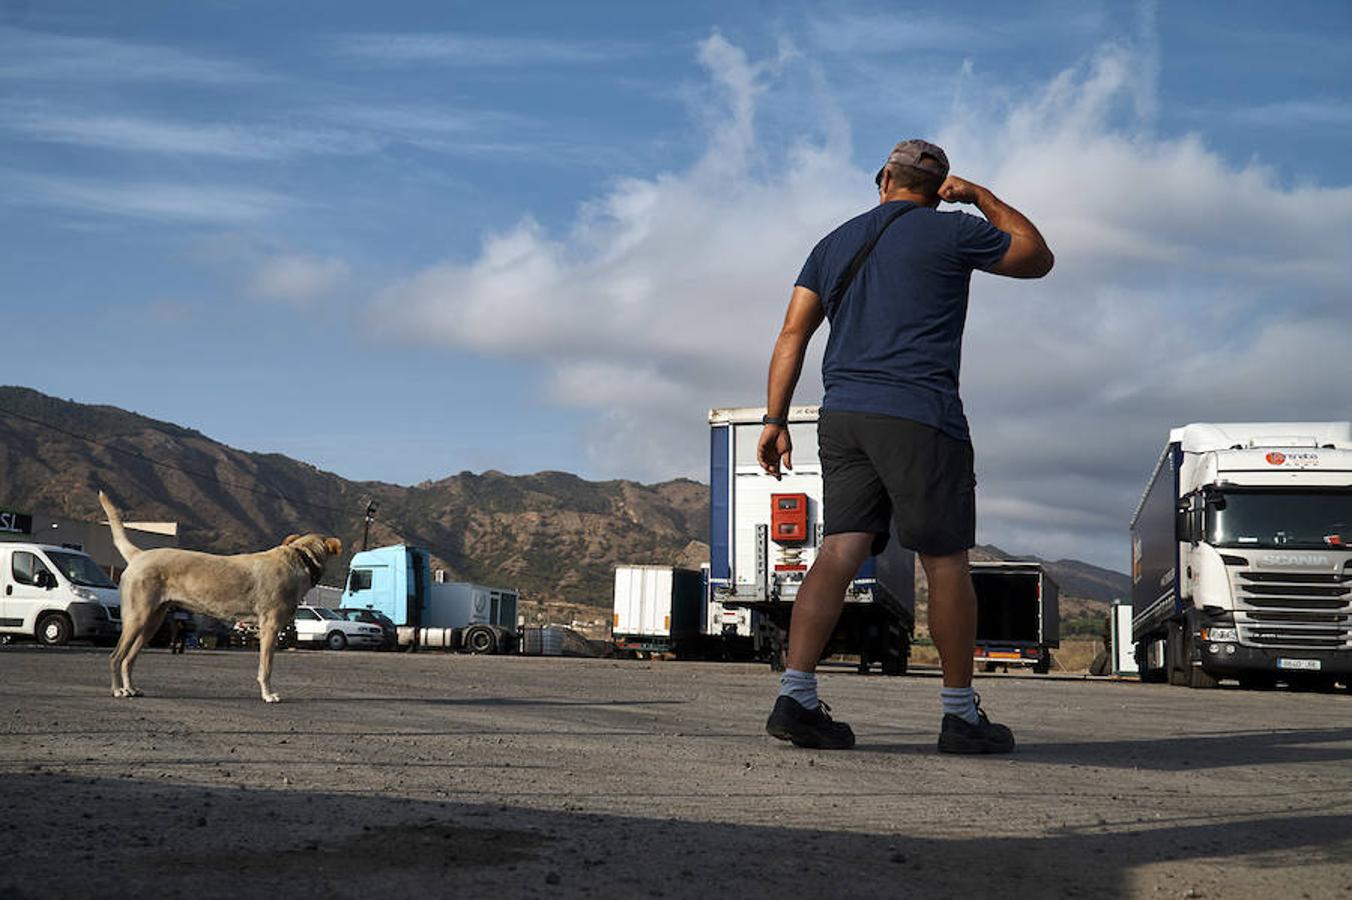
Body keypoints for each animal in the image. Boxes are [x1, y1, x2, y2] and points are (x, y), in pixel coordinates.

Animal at [99, 491, 340, 702]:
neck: (300, 559)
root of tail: (138, 555)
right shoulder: (271, 626)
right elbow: (266, 666)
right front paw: (268, 694)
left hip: (153, 621)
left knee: (129, 659)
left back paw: (131, 688)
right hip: (137, 617)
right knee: (115, 657)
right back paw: (118, 690)